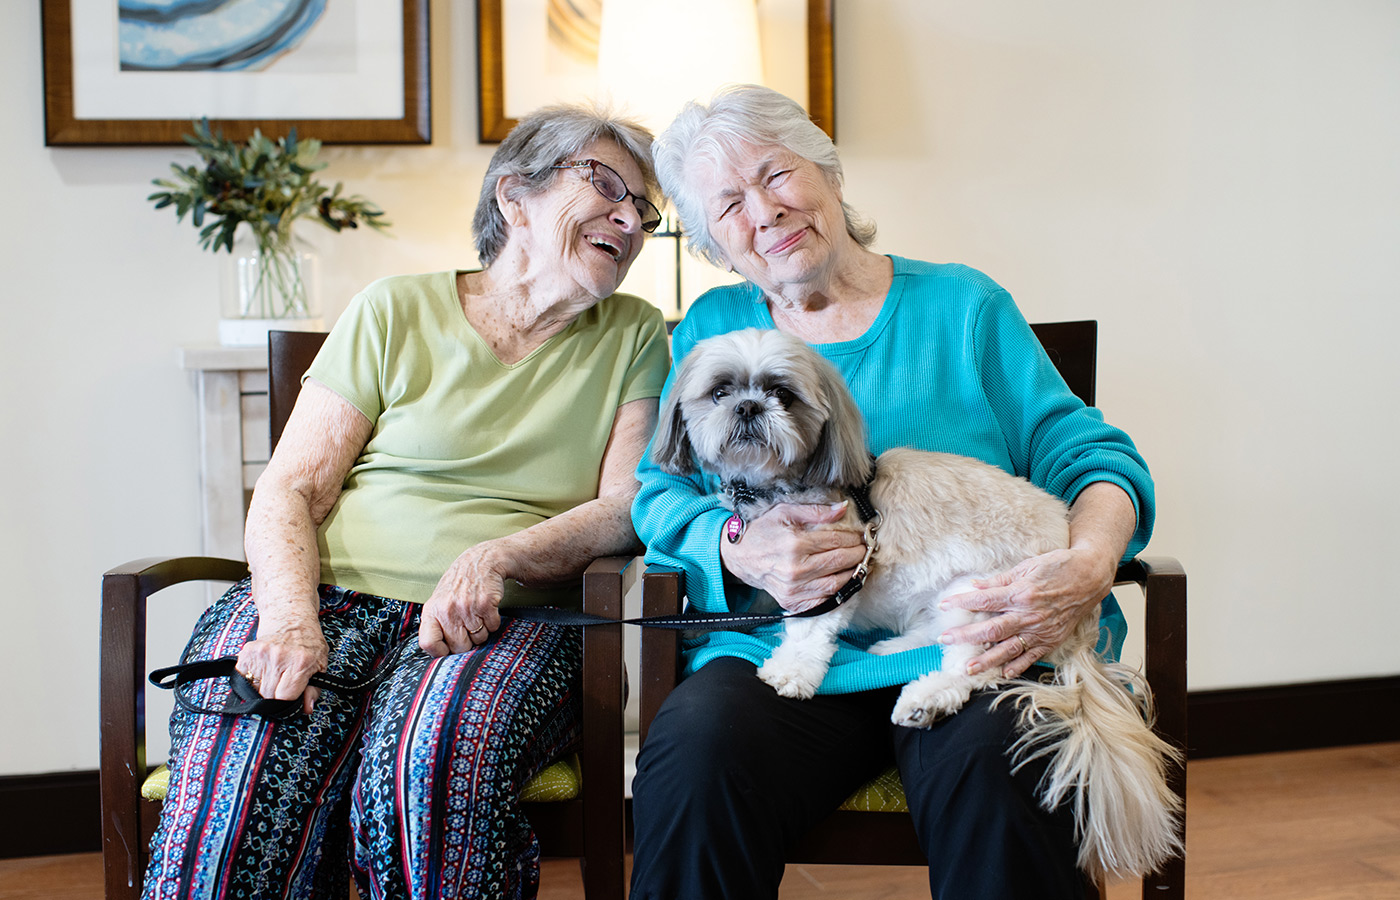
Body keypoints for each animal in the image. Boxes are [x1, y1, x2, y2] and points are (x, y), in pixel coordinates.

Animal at [655, 326, 1181, 879]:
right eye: (720, 392)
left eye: (782, 394)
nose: (749, 407)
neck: (779, 488)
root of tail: (1081, 621)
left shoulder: (833, 570)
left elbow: (809, 628)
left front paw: (791, 669)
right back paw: (894, 650)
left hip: (984, 594)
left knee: (973, 669)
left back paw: (927, 698)